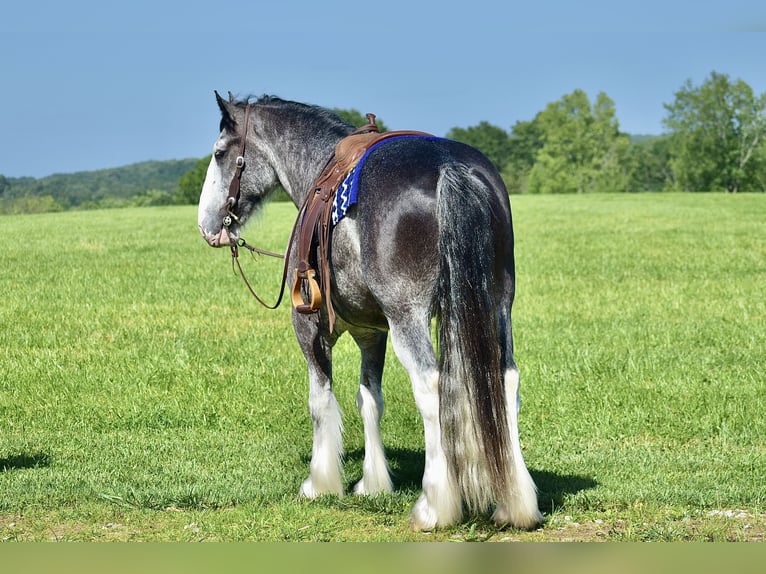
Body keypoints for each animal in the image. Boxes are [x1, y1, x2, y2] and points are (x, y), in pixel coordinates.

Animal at [198, 92, 544, 532]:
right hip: (498, 306)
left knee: (430, 386)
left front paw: (321, 482)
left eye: (219, 153)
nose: (207, 225)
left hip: (408, 316)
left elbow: (320, 400)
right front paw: (373, 483)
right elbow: (370, 399)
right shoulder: (372, 333)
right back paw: (516, 505)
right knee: (506, 382)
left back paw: (435, 507)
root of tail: (452, 168)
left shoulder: (310, 329)